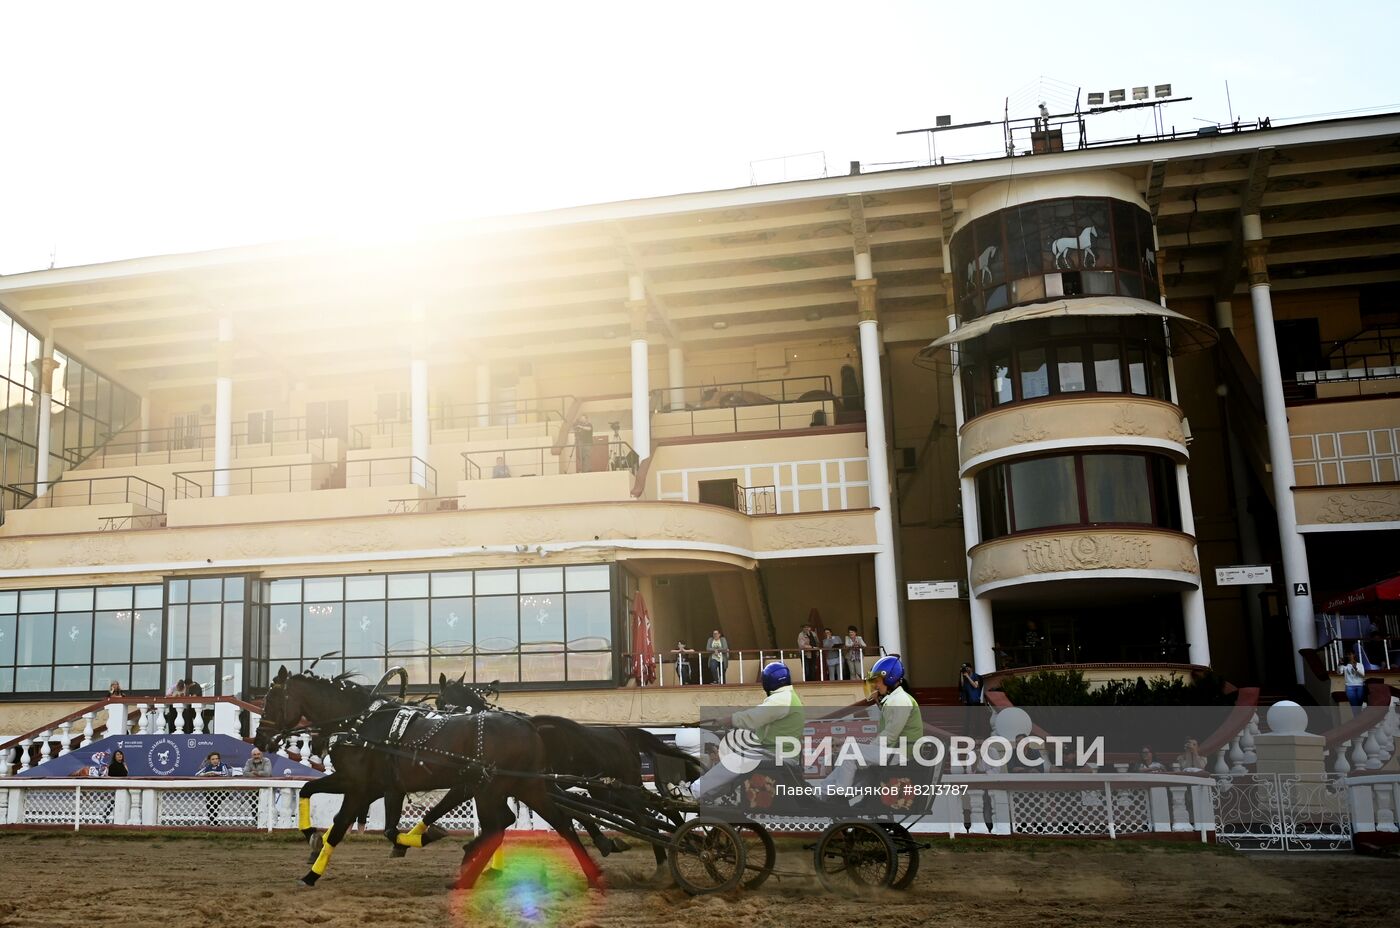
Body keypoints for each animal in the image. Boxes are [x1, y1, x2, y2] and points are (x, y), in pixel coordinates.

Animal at [254, 669, 604, 895]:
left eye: (270, 699)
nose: (260, 739)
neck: (360, 724)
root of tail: (528, 726)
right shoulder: (377, 787)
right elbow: (311, 791)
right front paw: (313, 838)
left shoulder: (357, 786)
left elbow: (344, 827)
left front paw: (311, 874)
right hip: (525, 787)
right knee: (561, 824)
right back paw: (593, 874)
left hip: (490, 787)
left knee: (500, 826)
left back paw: (466, 877)